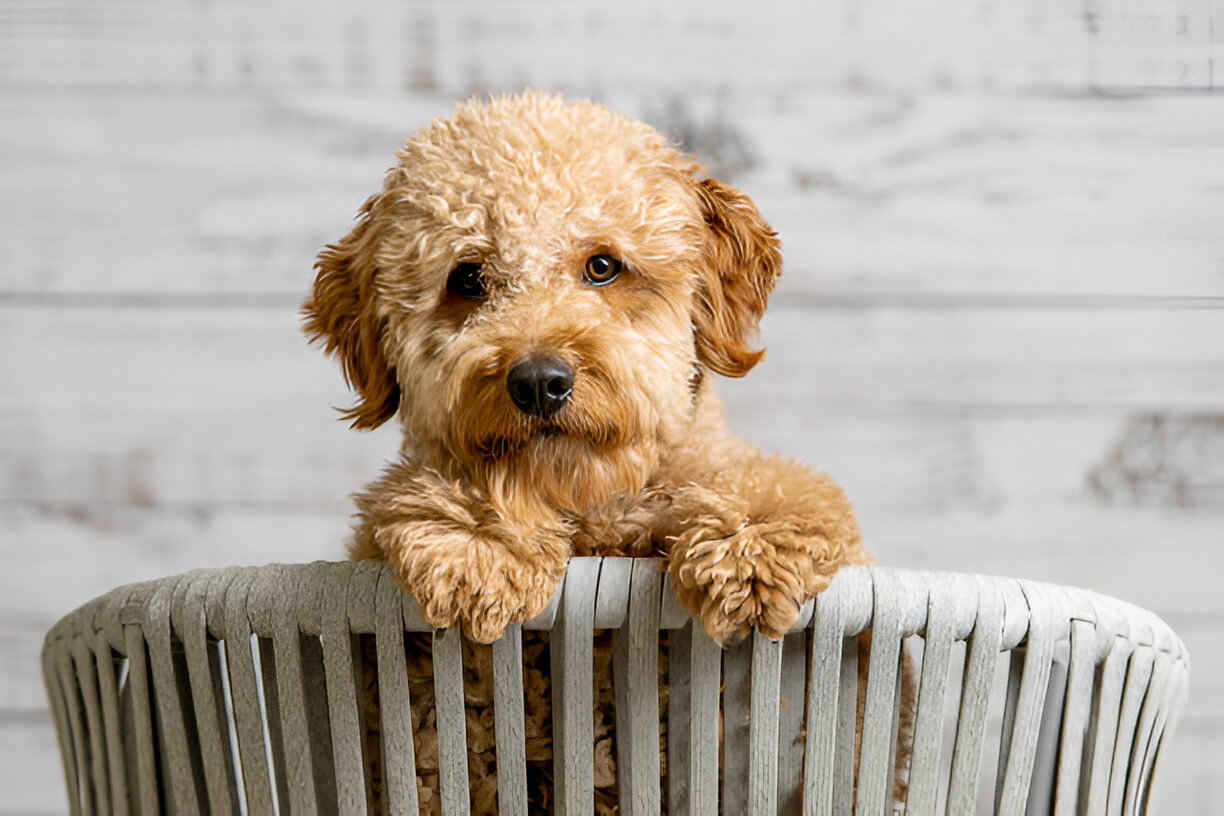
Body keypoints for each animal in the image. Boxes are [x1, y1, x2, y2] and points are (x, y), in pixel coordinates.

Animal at [301, 92, 866, 645]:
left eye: (602, 267)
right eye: (466, 279)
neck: (595, 511)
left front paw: (749, 548)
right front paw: (477, 539)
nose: (538, 383)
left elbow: (780, 489)